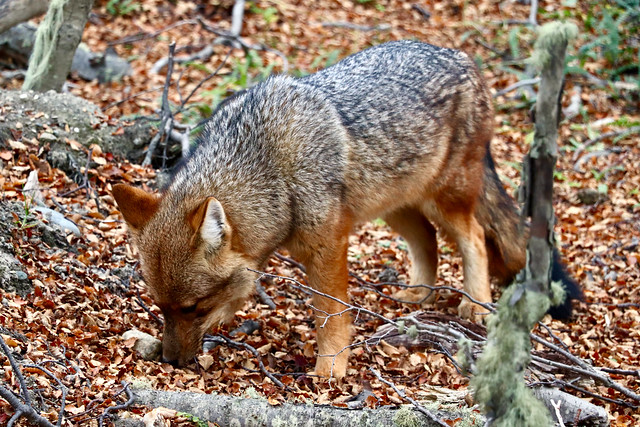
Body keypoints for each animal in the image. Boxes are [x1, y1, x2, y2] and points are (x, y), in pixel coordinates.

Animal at [112, 41, 584, 380]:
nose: (171, 362)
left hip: (444, 201)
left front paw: (330, 370)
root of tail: (464, 58)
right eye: (162, 308)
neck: (271, 169)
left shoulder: (328, 247)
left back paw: (478, 305)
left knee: (476, 239)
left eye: (193, 307)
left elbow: (330, 317)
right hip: (395, 207)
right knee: (429, 240)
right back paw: (418, 295)